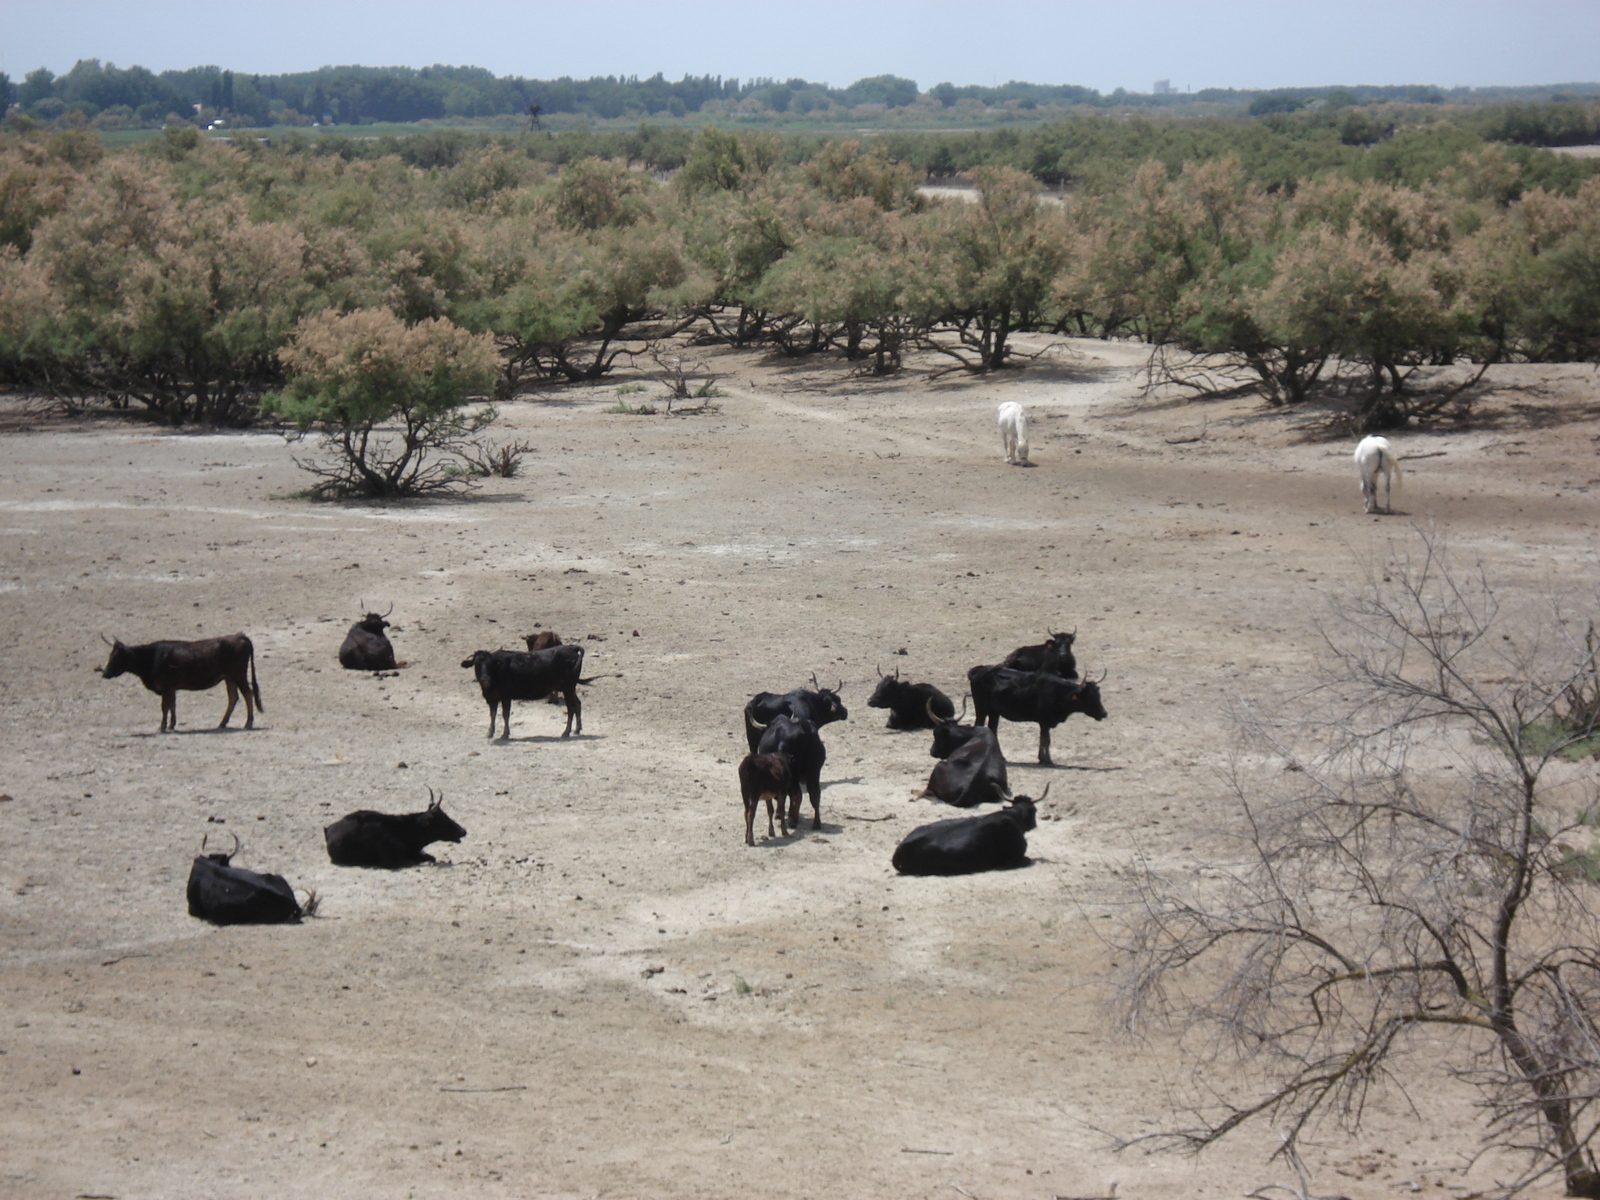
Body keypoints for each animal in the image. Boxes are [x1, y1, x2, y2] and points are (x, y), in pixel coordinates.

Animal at [99, 630, 260, 732]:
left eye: (117, 657)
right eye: (110, 655)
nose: (105, 673)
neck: (153, 657)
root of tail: (240, 636)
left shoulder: (166, 687)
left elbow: (165, 706)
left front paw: (162, 726)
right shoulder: (171, 688)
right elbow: (172, 705)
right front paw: (171, 724)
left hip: (239, 675)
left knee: (248, 694)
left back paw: (248, 722)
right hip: (229, 678)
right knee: (233, 697)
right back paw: (222, 723)